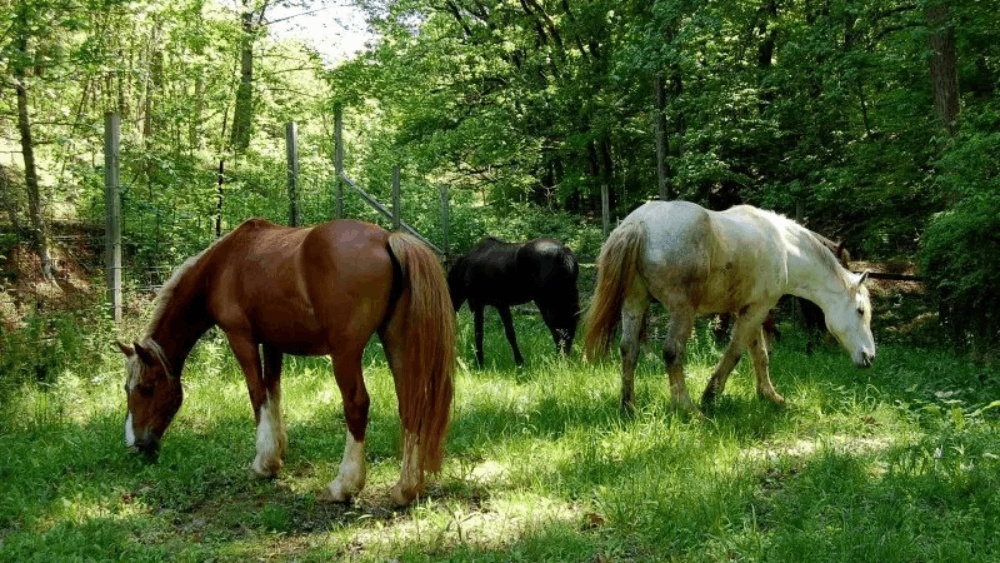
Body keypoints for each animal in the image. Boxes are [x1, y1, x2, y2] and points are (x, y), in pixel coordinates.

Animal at [116, 218, 455, 506]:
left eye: (145, 388)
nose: (135, 444)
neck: (221, 266)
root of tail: (387, 239)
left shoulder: (241, 337)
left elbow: (256, 393)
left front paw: (263, 463)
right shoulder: (272, 343)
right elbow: (273, 392)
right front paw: (277, 452)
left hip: (345, 353)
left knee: (356, 405)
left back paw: (343, 485)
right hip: (396, 341)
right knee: (410, 404)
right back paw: (405, 489)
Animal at [448, 237, 580, 367]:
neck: (465, 268)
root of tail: (563, 252)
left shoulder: (478, 303)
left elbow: (479, 333)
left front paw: (479, 362)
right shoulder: (501, 305)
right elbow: (510, 333)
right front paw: (519, 362)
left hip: (547, 304)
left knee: (558, 330)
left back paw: (560, 361)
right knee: (567, 329)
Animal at [583, 201, 875, 417]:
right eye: (860, 311)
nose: (869, 357)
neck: (783, 245)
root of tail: (639, 224)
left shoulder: (751, 310)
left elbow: (760, 356)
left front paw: (770, 396)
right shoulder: (755, 311)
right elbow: (735, 353)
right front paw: (710, 397)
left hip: (635, 303)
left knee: (628, 350)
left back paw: (628, 407)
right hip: (682, 312)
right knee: (672, 353)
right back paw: (690, 411)